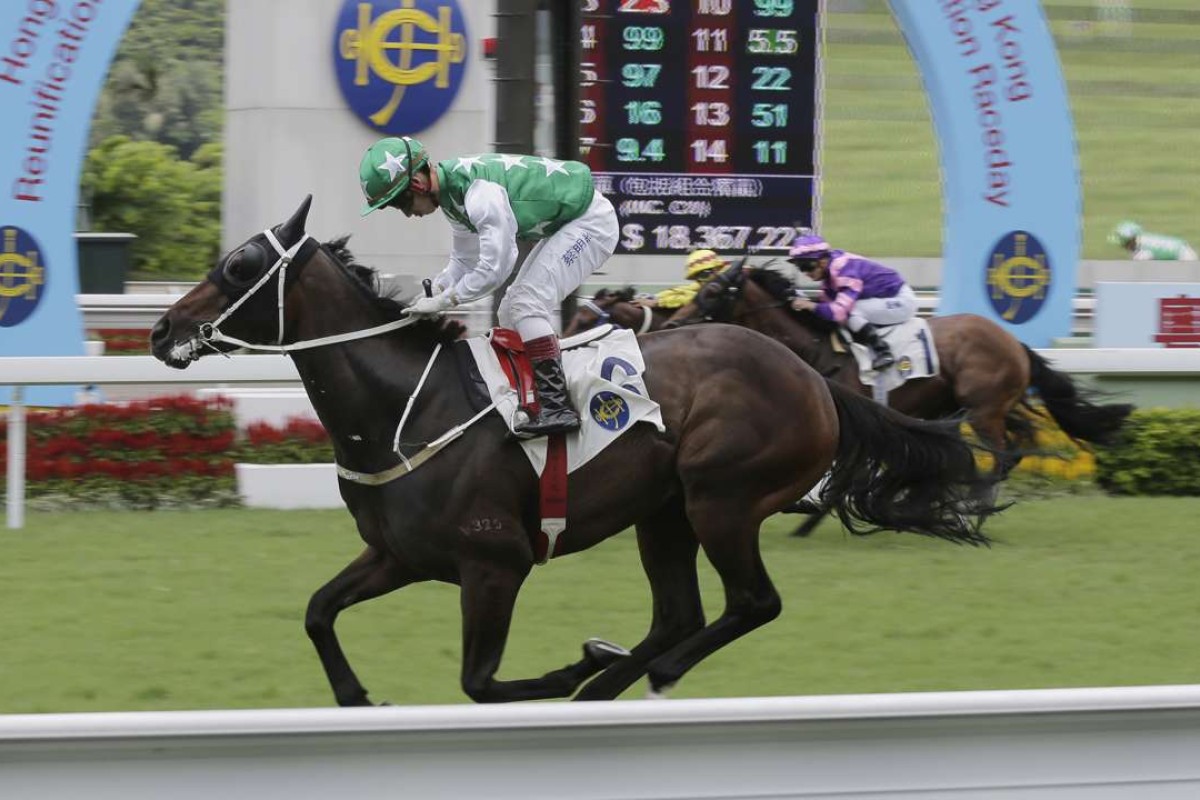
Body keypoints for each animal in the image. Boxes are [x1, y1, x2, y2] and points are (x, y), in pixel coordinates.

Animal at [145, 199, 998, 705]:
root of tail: (817, 380)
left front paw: (571, 666)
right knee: (680, 612)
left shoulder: (495, 562)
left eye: (238, 268)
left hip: (720, 497)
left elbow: (480, 681)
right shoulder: (398, 555)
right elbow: (319, 612)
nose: (161, 330)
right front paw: (356, 697)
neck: (405, 407)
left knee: (750, 603)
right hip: (664, 512)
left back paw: (627, 675)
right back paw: (613, 675)